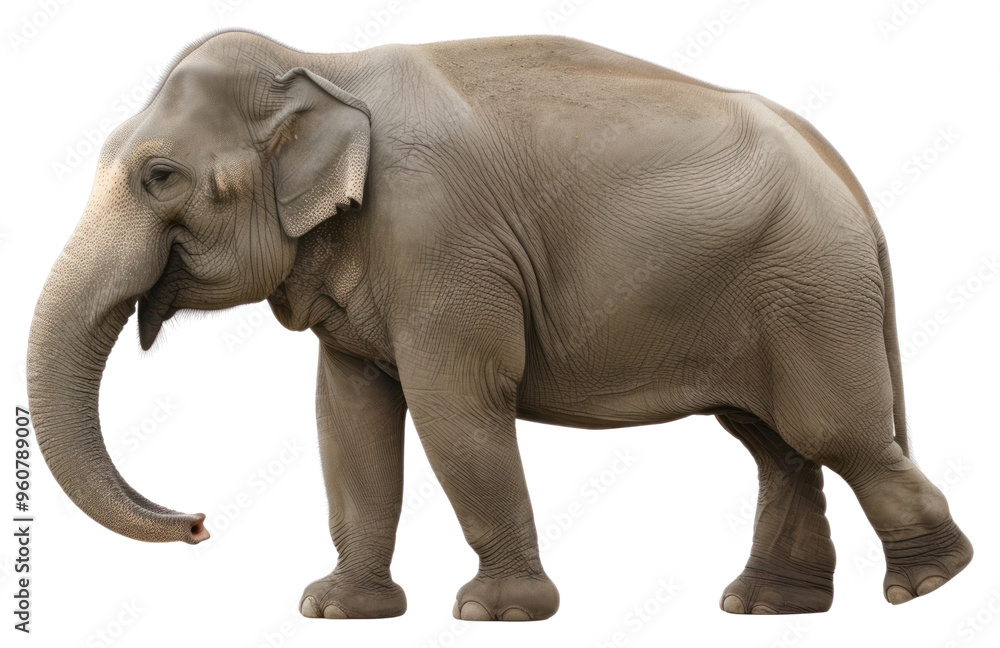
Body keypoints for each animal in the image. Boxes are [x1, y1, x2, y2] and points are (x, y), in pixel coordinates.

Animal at [27, 29, 972, 621]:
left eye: (158, 176)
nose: (199, 522)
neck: (323, 64)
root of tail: (848, 177)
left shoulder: (443, 241)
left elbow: (456, 405)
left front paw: (495, 613)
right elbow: (348, 417)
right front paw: (335, 608)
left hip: (812, 289)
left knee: (832, 432)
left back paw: (927, 584)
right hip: (778, 293)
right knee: (777, 445)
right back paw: (767, 606)